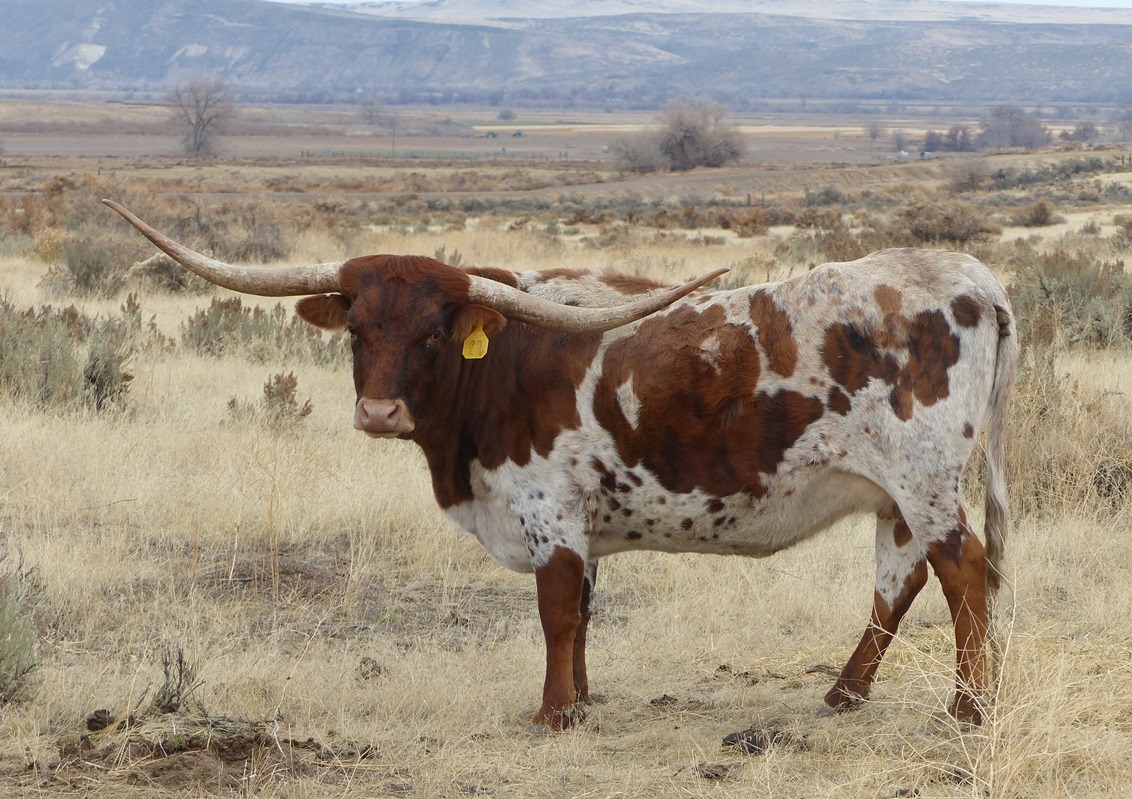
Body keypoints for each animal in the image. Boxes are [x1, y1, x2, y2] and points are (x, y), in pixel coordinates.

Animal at [105, 199, 1017, 730]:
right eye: (359, 330)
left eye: (433, 332)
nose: (379, 412)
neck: (499, 364)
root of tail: (971, 275)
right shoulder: (582, 521)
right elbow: (580, 611)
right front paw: (579, 700)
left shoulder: (546, 510)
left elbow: (554, 612)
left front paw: (550, 713)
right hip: (895, 493)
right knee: (899, 579)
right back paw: (843, 693)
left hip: (927, 481)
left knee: (963, 572)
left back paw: (969, 706)